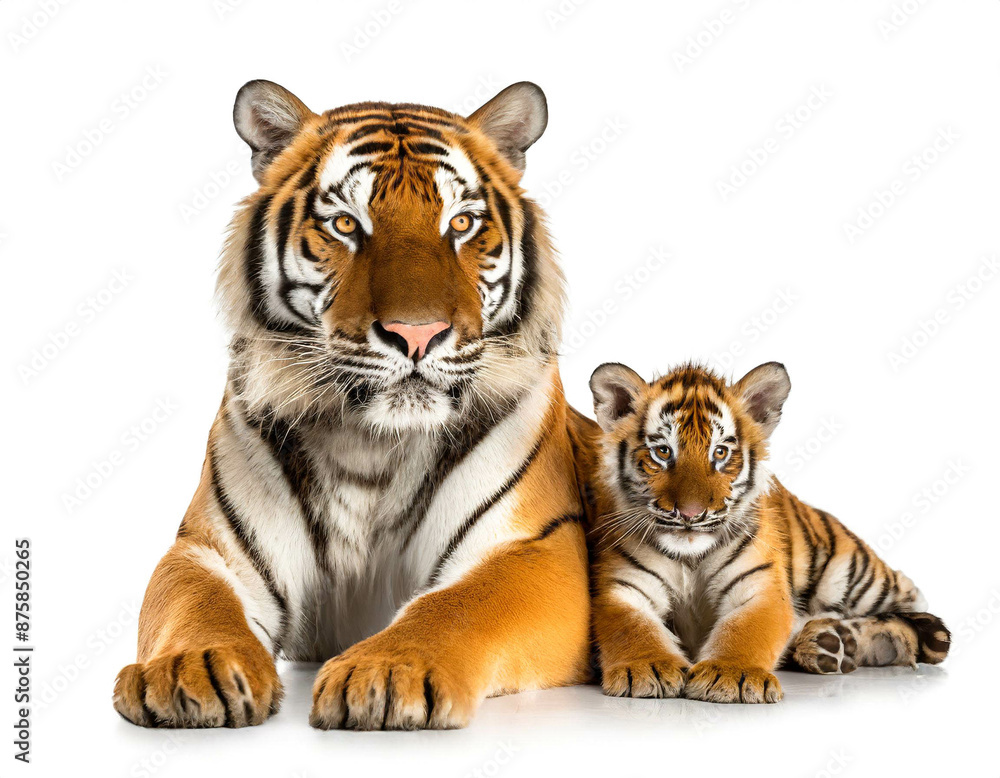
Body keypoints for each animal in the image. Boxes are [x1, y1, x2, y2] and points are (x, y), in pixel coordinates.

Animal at [112, 80, 595, 730]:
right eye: (346, 223)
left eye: (461, 223)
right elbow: (194, 604)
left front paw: (388, 671)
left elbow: (459, 604)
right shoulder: (208, 549)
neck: (371, 443)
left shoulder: (534, 549)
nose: (417, 334)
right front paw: (193, 669)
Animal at [587, 360, 951, 703]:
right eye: (662, 452)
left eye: (720, 453)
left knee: (915, 606)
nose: (690, 514)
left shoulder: (760, 586)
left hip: (852, 576)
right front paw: (649, 667)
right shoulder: (624, 588)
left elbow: (746, 630)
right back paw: (831, 643)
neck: (690, 556)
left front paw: (730, 675)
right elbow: (632, 629)